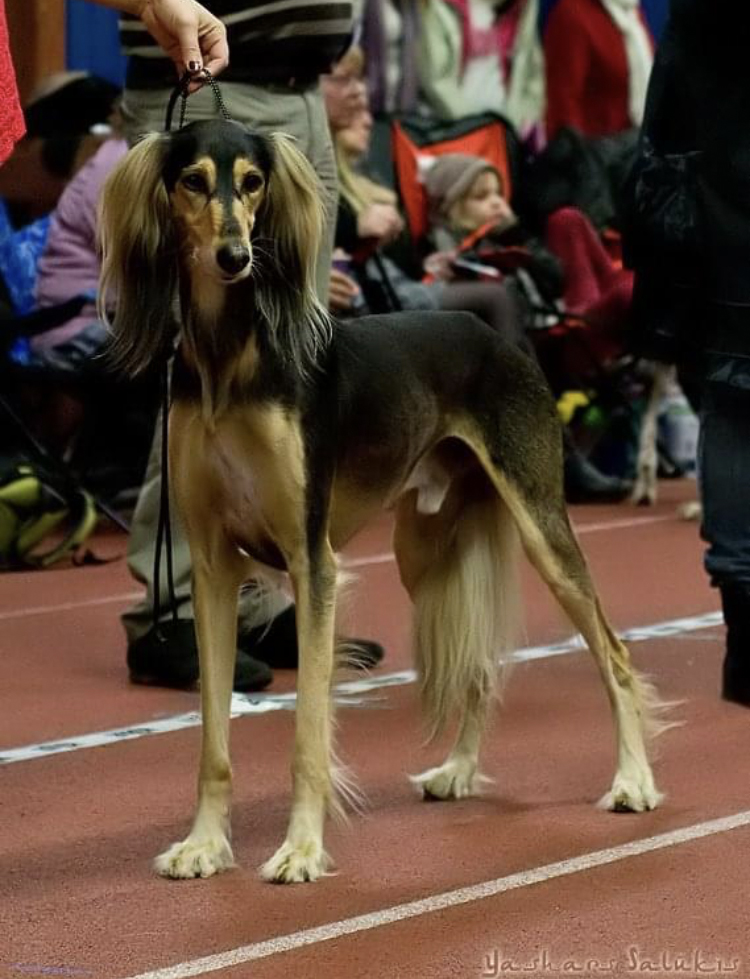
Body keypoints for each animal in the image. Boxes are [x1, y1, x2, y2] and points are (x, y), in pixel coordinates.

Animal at [98, 118, 668, 884]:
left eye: (253, 182)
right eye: (193, 181)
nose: (235, 256)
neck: (231, 360)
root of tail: (495, 332)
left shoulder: (313, 562)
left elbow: (308, 730)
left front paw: (302, 848)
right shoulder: (215, 570)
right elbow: (213, 739)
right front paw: (205, 844)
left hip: (541, 525)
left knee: (614, 653)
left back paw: (633, 780)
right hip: (426, 548)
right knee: (478, 666)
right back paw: (458, 770)